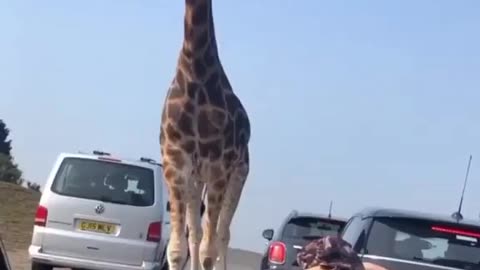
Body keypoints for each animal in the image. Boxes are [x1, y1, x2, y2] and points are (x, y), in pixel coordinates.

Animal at [160, 0, 251, 268]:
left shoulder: (219, 167)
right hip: (195, 179)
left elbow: (208, 252)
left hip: (238, 175)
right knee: (196, 232)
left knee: (222, 234)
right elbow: (177, 249)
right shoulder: (174, 162)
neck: (194, 70)